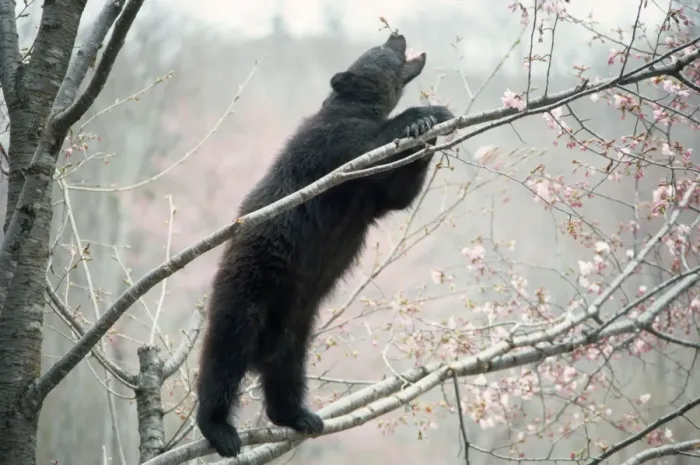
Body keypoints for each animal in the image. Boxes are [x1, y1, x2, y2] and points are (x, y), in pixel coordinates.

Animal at [196, 32, 455, 458]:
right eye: (380, 50)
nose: (396, 33)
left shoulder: (369, 194)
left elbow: (397, 194)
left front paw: (428, 128)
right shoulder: (328, 146)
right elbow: (362, 145)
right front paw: (427, 112)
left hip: (297, 324)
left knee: (287, 370)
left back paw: (301, 416)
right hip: (249, 287)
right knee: (224, 357)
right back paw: (221, 430)